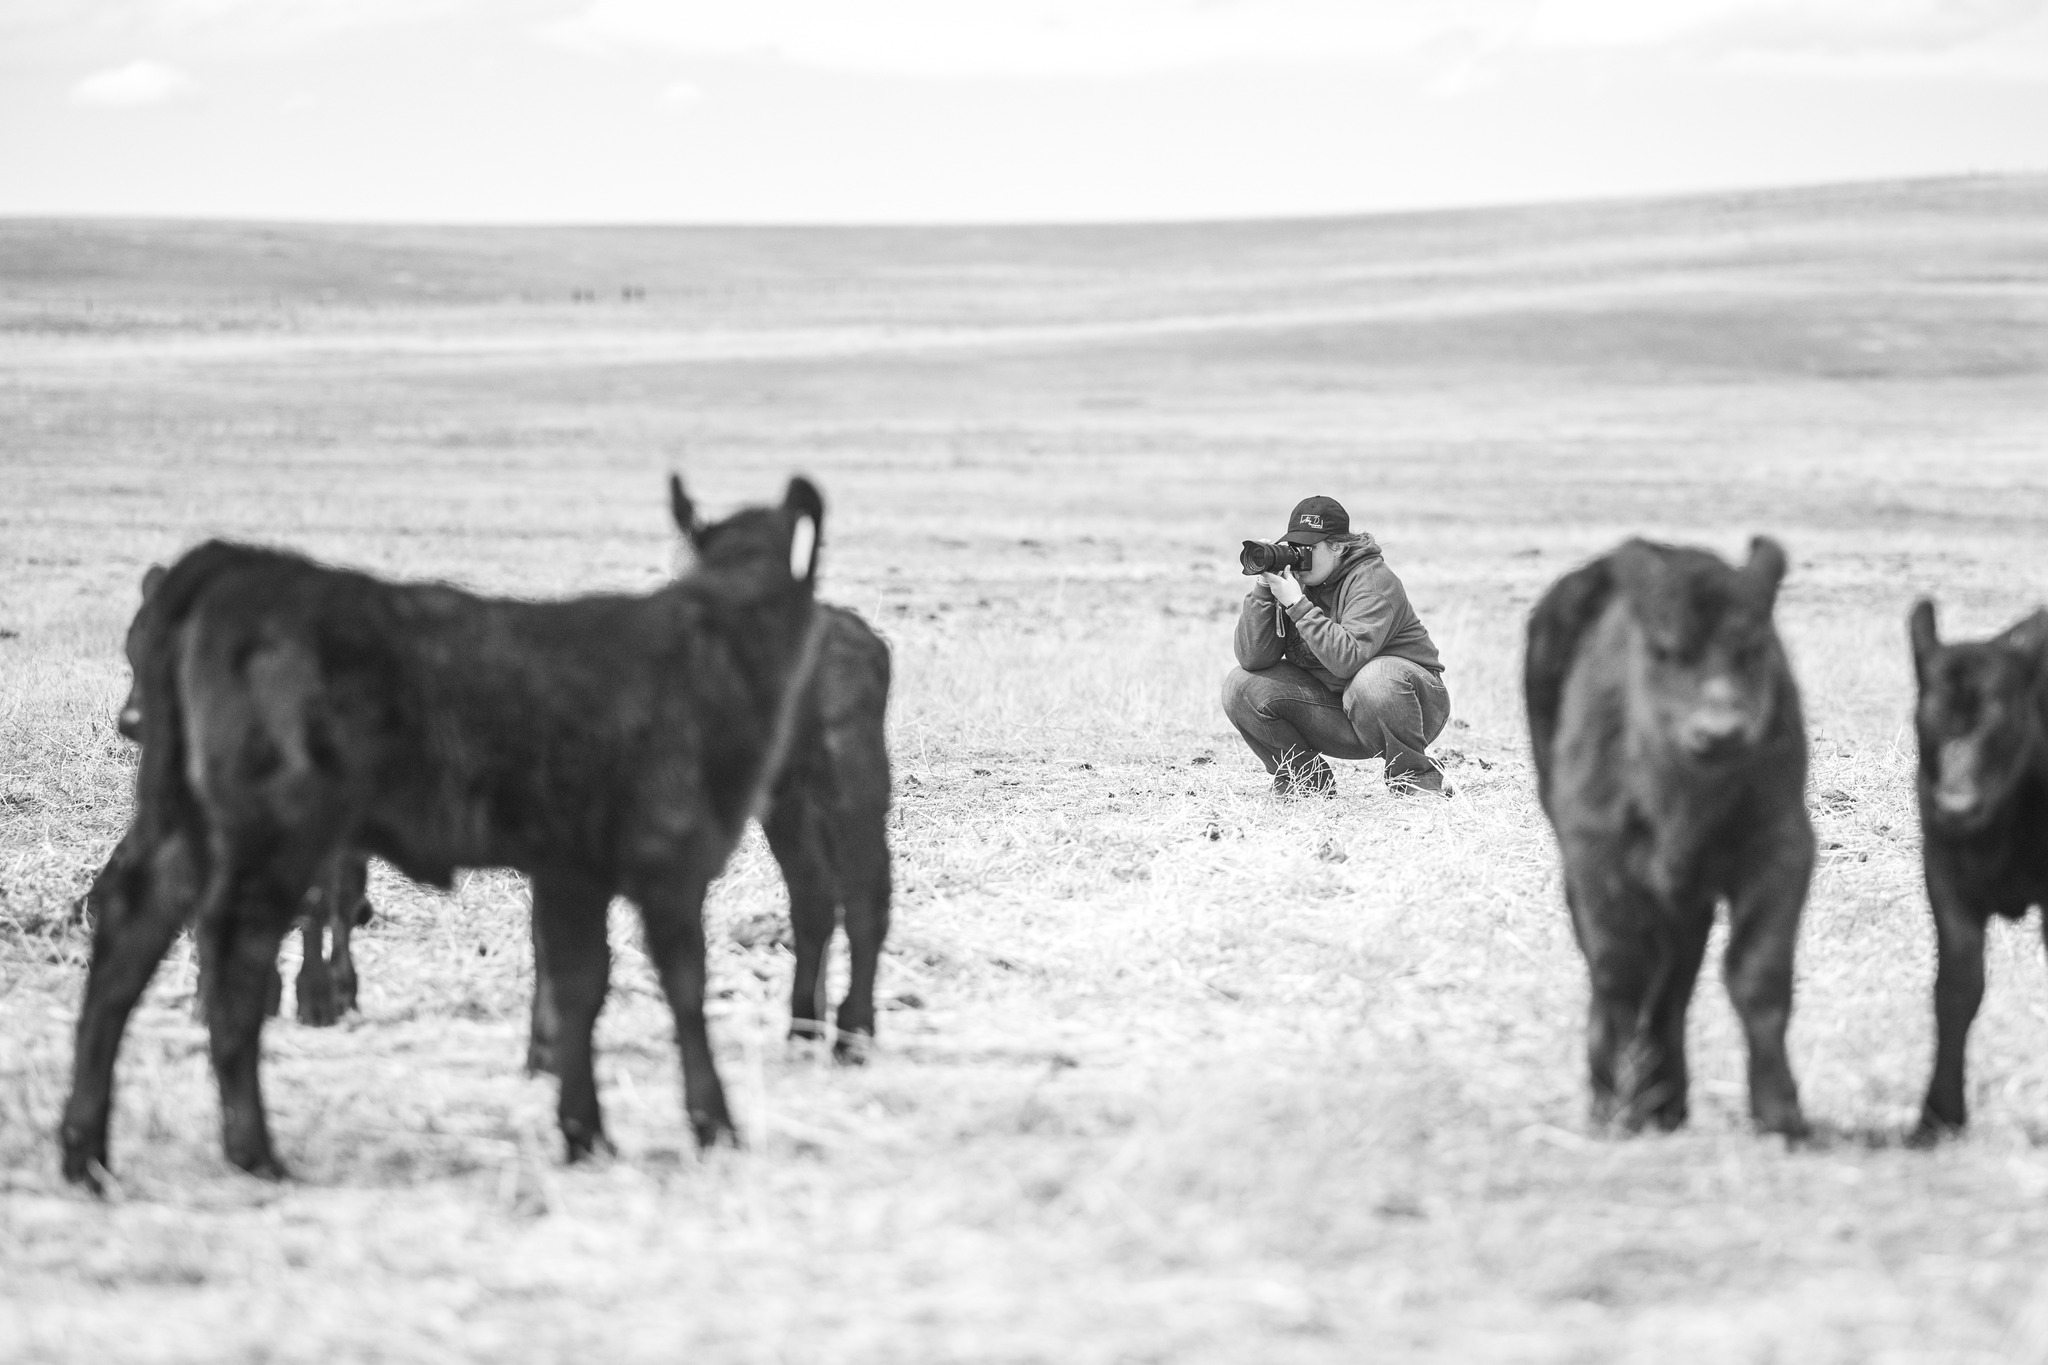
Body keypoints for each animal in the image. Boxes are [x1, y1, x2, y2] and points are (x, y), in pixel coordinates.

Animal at [59, 480, 823, 1195]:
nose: (129, 719)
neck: (714, 636)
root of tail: (234, 565)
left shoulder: (568, 870)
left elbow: (578, 982)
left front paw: (583, 1129)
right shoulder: (669, 860)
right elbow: (683, 986)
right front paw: (712, 1124)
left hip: (187, 827)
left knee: (132, 930)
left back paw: (87, 1153)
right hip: (271, 837)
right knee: (235, 958)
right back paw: (254, 1151)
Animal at [536, 478, 897, 1064]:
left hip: (850, 779)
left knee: (865, 893)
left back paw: (852, 1032)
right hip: (793, 799)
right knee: (817, 895)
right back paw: (805, 1025)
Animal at [1531, 540, 1818, 1137]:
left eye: (1755, 647)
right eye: (1663, 650)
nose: (1719, 731)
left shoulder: (1782, 849)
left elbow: (1760, 975)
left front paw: (1781, 1113)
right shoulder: (1597, 856)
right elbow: (1619, 970)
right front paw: (1613, 1105)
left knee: (1676, 977)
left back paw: (1666, 1100)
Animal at [1900, 601, 2048, 1146]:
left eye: (2002, 723)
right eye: (1925, 719)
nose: (1955, 806)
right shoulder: (1944, 875)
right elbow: (1957, 989)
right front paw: (1937, 1115)